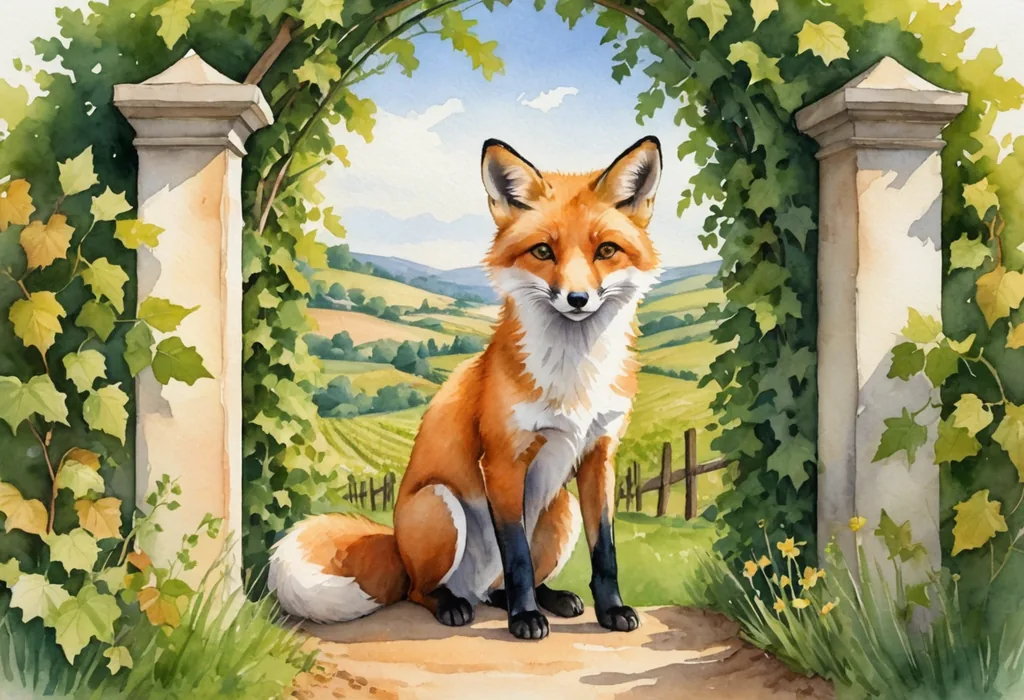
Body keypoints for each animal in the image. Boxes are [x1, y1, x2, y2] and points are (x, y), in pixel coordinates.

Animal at [269, 135, 663, 640]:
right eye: (542, 252)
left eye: (606, 250)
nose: (577, 299)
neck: (573, 379)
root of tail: (396, 544)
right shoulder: (501, 460)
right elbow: (516, 556)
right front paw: (524, 620)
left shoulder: (600, 455)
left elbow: (605, 551)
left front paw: (610, 610)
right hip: (442, 506)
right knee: (422, 590)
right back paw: (455, 605)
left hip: (563, 508)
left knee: (500, 586)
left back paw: (549, 598)